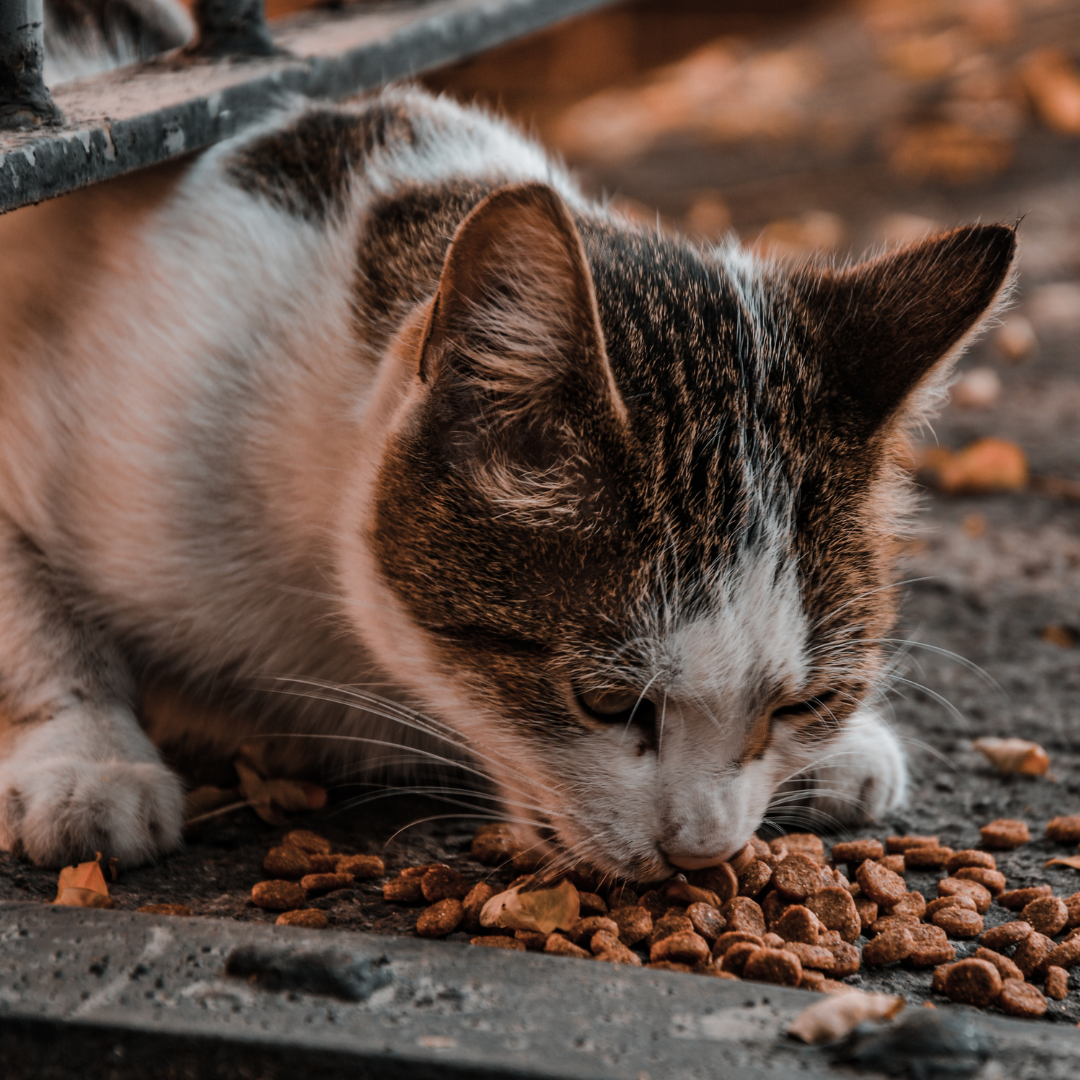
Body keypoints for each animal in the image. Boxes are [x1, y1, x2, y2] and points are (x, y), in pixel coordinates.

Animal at [0, 0, 1010, 876]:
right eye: (607, 704)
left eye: (805, 703)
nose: (702, 851)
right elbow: (36, 621)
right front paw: (88, 759)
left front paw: (846, 749)